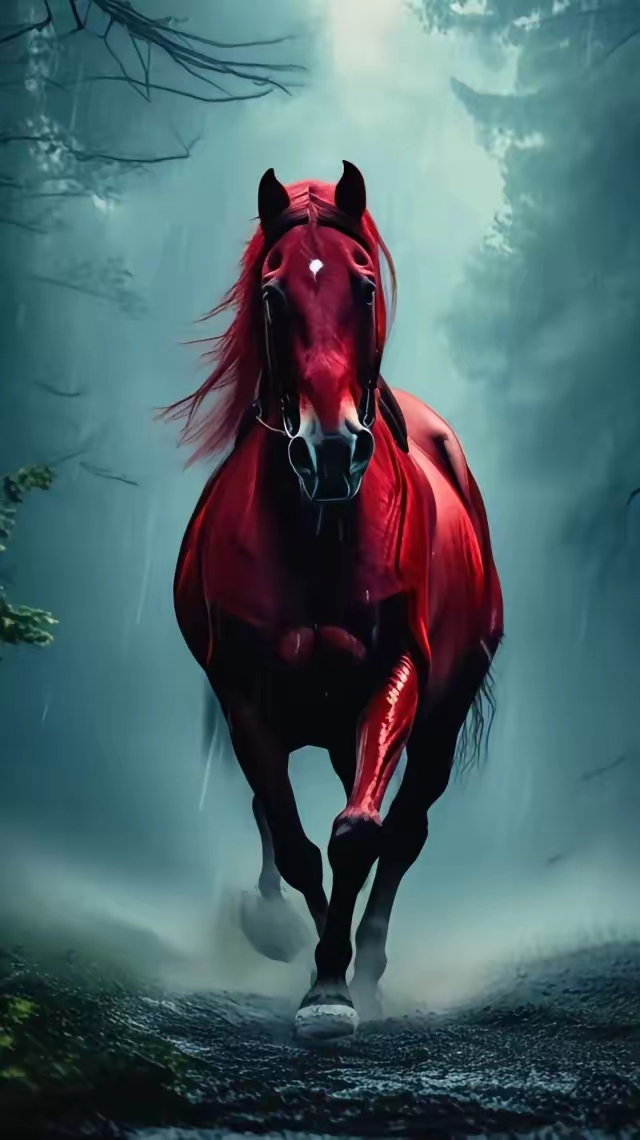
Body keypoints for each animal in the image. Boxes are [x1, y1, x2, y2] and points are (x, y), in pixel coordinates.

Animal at [164, 162, 504, 1041]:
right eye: (273, 291)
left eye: (363, 284)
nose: (330, 451)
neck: (318, 531)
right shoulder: (245, 694)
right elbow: (289, 840)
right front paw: (309, 957)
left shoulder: (398, 674)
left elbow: (356, 835)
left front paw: (336, 982)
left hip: (443, 710)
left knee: (405, 829)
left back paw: (372, 963)